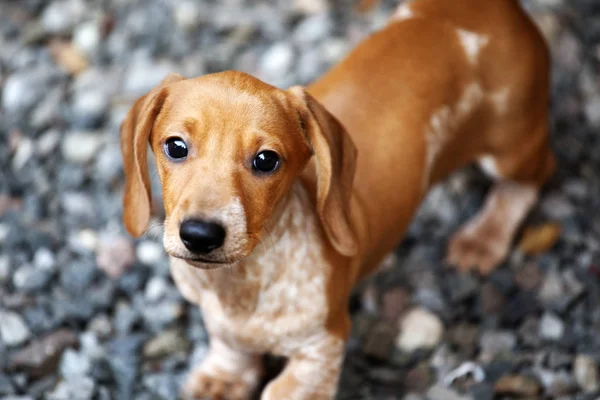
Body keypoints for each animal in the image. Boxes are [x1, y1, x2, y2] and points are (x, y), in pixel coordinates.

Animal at [120, 1, 552, 398]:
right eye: (175, 146)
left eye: (266, 160)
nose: (200, 234)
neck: (242, 285)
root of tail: (499, 8)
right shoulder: (220, 320)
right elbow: (229, 344)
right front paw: (223, 378)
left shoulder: (322, 346)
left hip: (512, 144)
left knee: (533, 177)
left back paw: (484, 236)